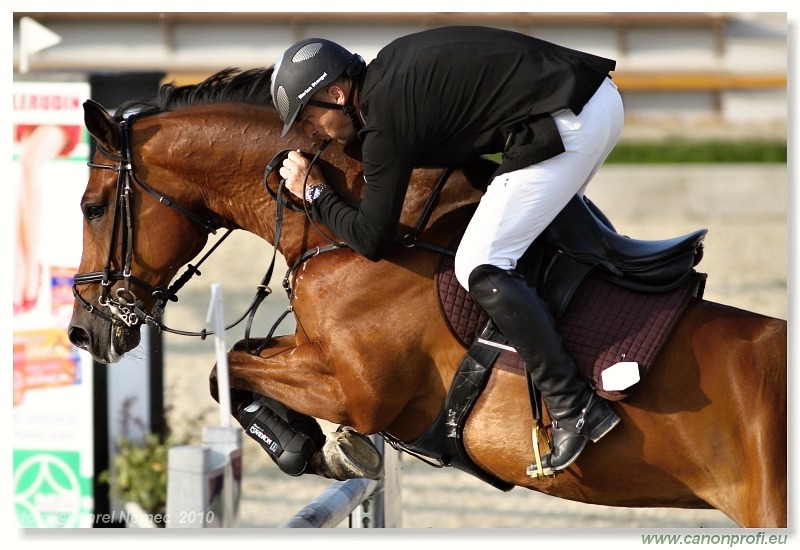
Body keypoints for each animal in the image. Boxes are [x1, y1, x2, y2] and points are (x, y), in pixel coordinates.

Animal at [70, 70, 788, 532]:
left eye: (92, 207)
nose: (84, 332)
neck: (343, 234)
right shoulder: (313, 354)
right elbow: (239, 358)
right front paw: (327, 446)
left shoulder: (357, 389)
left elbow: (231, 371)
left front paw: (309, 446)